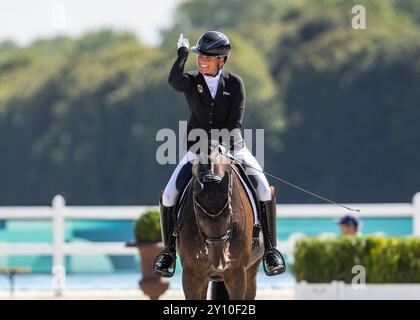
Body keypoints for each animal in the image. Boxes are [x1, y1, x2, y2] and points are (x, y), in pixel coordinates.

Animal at [178, 144, 264, 298]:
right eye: (199, 216)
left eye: (229, 213)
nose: (220, 262)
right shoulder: (191, 275)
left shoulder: (237, 274)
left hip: (251, 271)